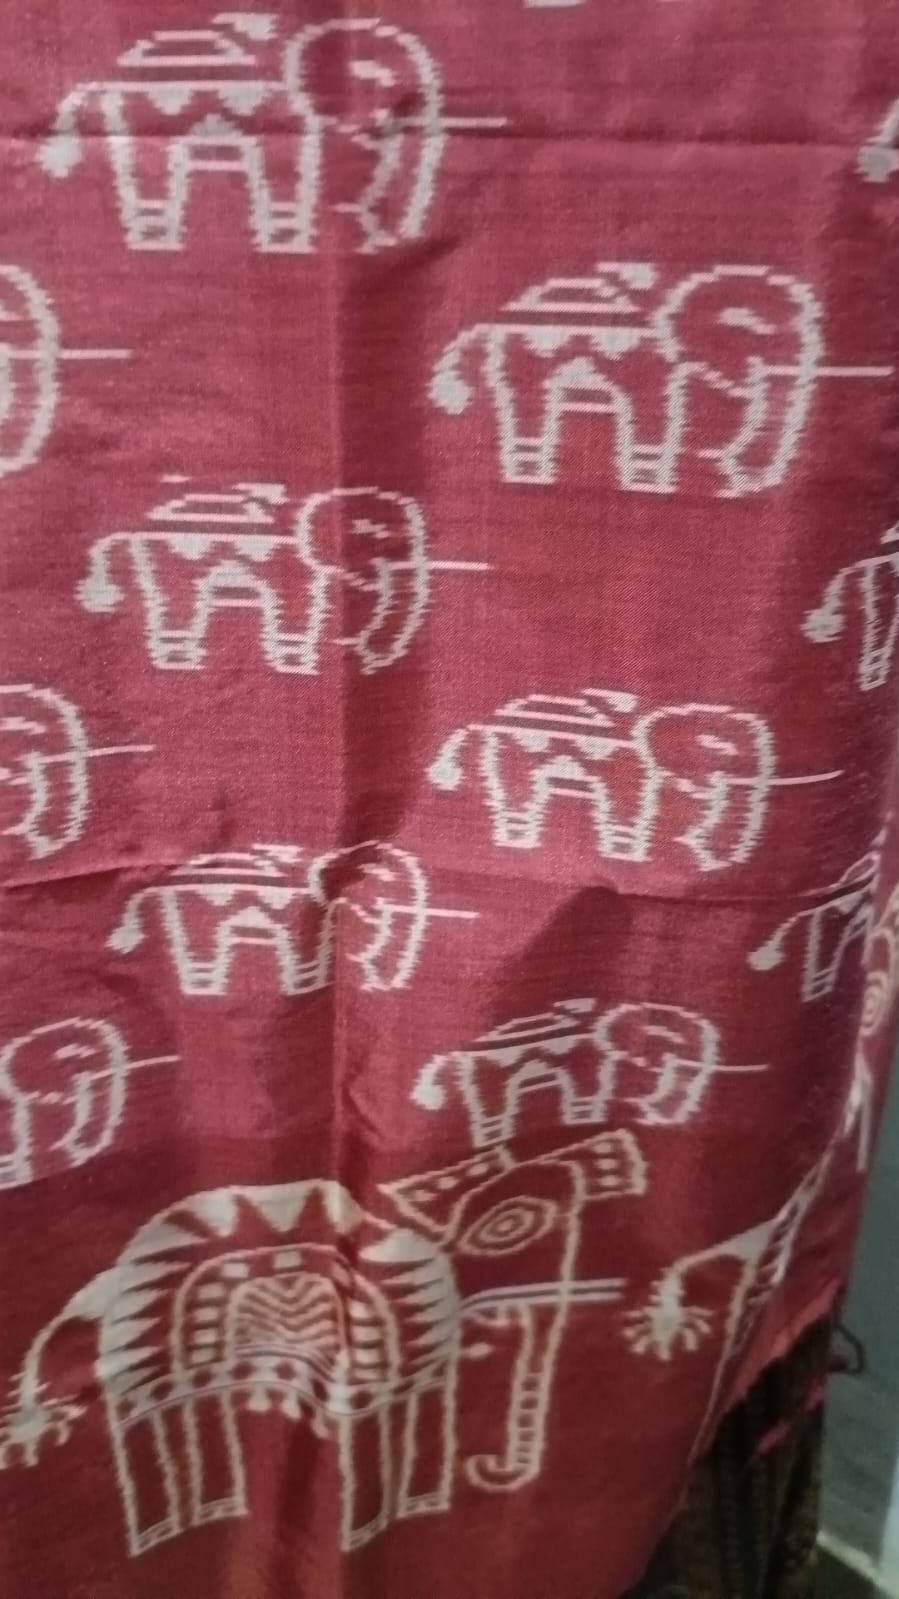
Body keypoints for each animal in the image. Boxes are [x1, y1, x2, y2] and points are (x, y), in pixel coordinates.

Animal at [77, 484, 435, 674]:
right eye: (373, 531)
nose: (368, 653)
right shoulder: (295, 569)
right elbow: (294, 609)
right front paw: (295, 662)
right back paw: (179, 659)